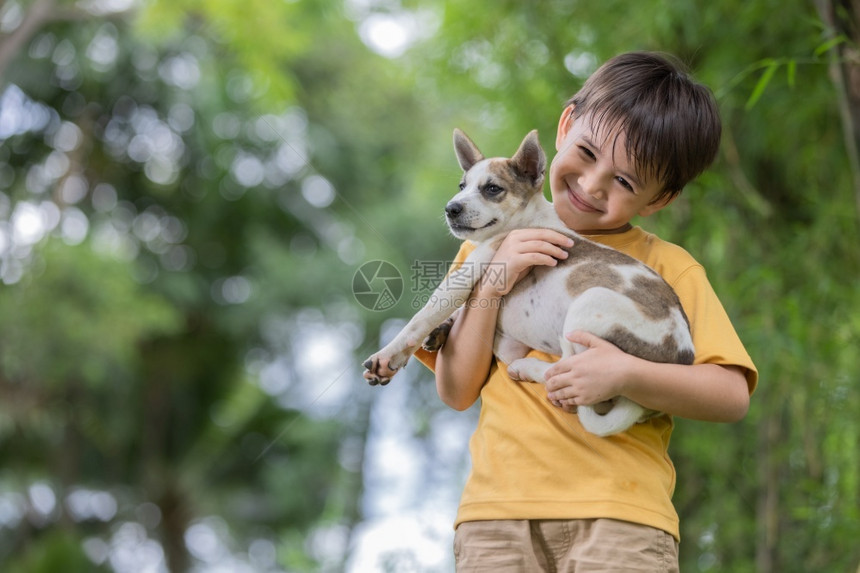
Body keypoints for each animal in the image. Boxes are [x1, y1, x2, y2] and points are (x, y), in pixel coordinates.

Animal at [362, 128, 692, 434]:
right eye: (462, 186)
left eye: (492, 189)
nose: (451, 208)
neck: (528, 219)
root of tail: (682, 355)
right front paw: (442, 329)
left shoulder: (467, 275)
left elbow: (419, 319)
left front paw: (388, 357)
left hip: (590, 308)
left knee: (572, 384)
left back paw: (528, 368)